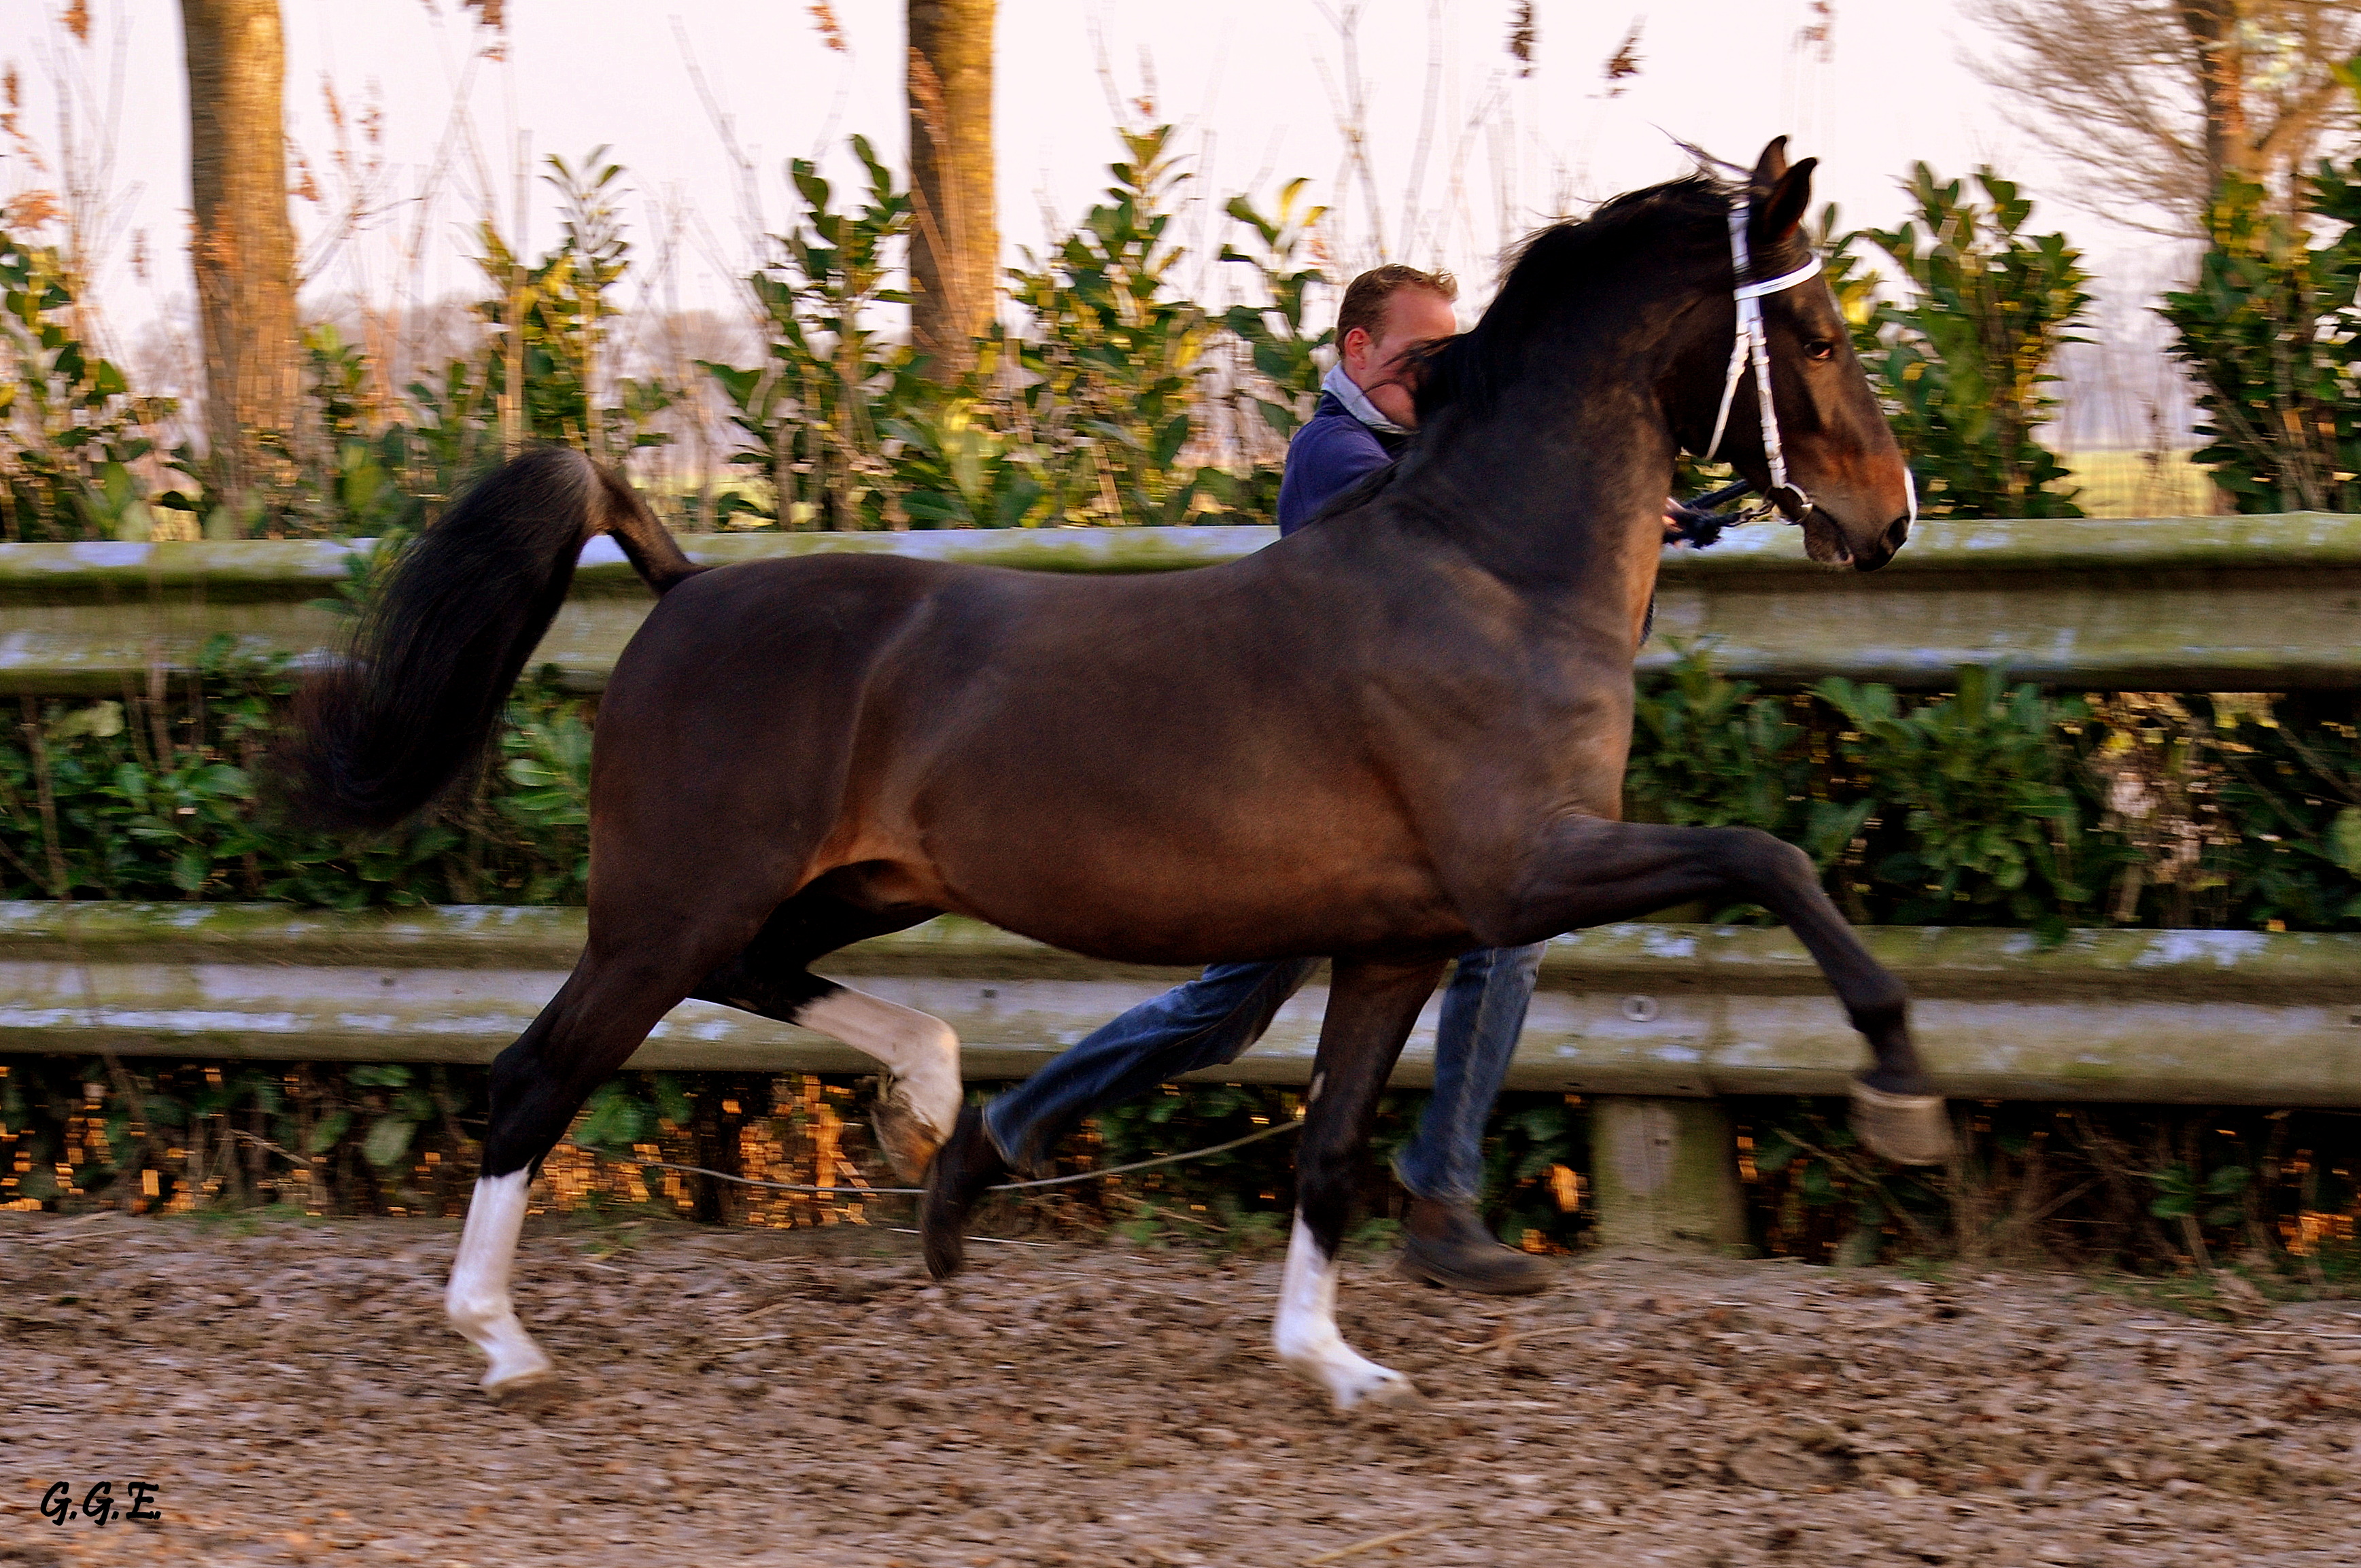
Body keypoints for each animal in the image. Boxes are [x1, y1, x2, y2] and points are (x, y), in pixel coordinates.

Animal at [281, 141, 1935, 1416]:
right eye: (1817, 336)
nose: (1887, 520)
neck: (1488, 577)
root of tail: (681, 583)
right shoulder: (1523, 869)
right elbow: (1770, 857)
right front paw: (1898, 1087)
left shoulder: (1395, 939)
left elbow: (1328, 1149)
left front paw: (1331, 1363)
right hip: (666, 909)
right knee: (532, 1075)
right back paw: (502, 1340)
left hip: (840, 889)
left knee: (757, 982)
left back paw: (930, 1110)